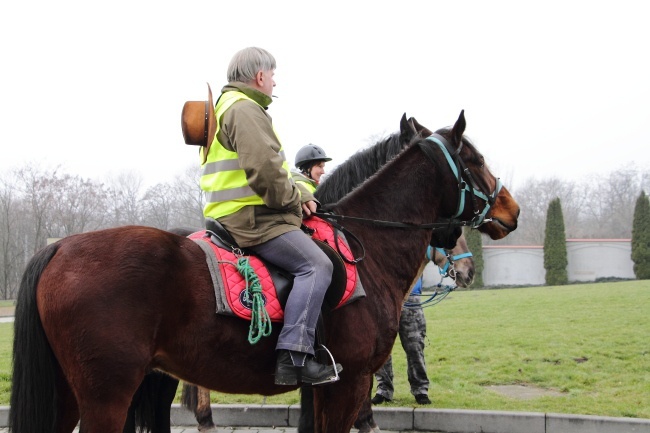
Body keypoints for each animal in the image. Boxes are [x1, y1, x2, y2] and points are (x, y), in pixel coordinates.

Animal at [8, 109, 516, 430]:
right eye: (475, 159)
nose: (509, 209)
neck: (364, 244)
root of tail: (59, 247)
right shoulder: (350, 382)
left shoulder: (325, 388)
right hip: (107, 394)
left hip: (78, 392)